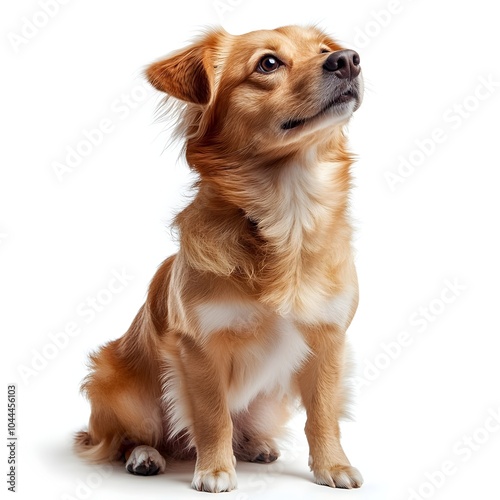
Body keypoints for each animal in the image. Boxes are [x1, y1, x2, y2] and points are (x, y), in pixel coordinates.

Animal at [74, 24, 364, 492]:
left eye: (325, 50)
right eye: (268, 63)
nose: (348, 60)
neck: (288, 214)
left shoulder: (328, 340)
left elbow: (323, 414)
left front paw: (332, 466)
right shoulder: (201, 349)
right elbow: (212, 417)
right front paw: (213, 470)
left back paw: (254, 446)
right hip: (125, 392)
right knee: (129, 438)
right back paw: (146, 456)